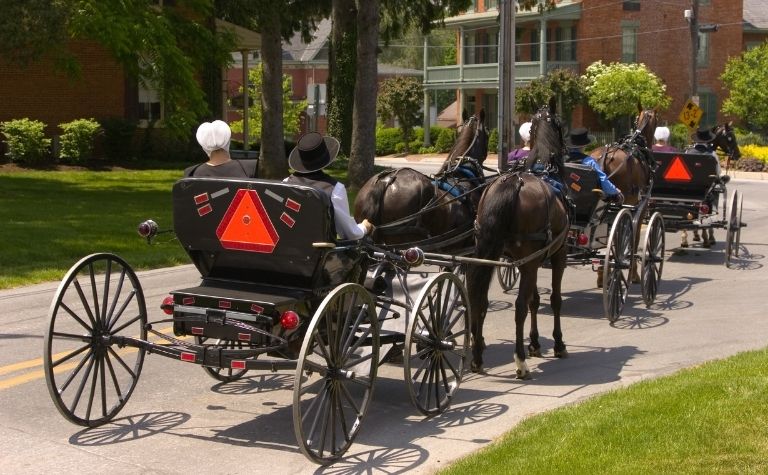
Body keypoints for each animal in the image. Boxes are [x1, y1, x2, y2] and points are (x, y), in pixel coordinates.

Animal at [462, 104, 568, 380]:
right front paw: (557, 343)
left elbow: (535, 300)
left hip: (489, 254)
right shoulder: (557, 254)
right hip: (529, 262)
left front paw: (535, 343)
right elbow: (554, 299)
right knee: (519, 306)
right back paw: (520, 361)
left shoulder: (531, 261)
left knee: (479, 299)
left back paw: (477, 357)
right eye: (560, 125)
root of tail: (513, 182)